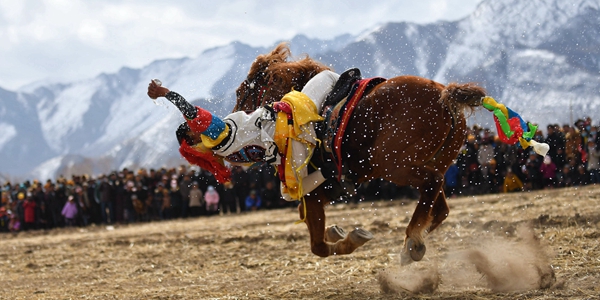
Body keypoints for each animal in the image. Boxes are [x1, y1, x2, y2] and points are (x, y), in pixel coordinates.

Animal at [234, 43, 488, 264]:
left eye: (240, 92)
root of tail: (444, 94)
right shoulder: (332, 184)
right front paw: (336, 231)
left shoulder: (314, 191)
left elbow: (318, 245)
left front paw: (348, 239)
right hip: (433, 163)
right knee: (439, 207)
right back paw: (416, 243)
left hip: (394, 166)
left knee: (432, 185)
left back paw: (410, 241)